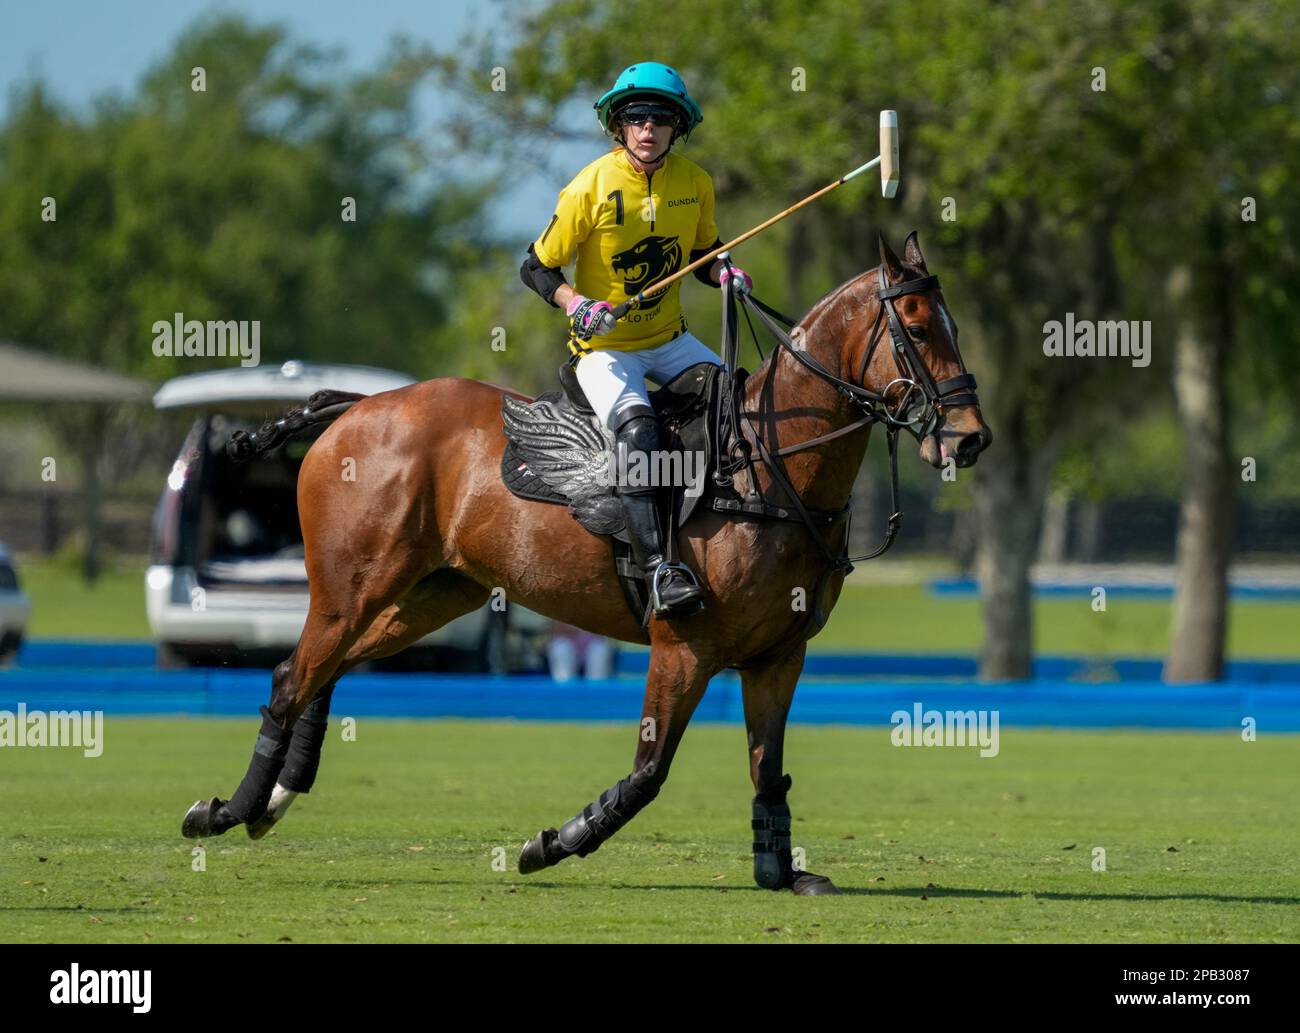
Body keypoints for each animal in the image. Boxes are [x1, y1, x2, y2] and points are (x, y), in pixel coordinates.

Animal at [183, 233, 987, 899]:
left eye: (951, 324)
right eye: (918, 328)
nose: (970, 437)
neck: (767, 466)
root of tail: (354, 407)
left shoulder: (777, 655)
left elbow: (767, 769)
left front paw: (781, 871)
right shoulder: (683, 646)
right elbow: (648, 773)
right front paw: (552, 843)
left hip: (434, 594)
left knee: (325, 670)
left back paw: (275, 799)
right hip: (353, 585)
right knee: (292, 677)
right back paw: (226, 809)